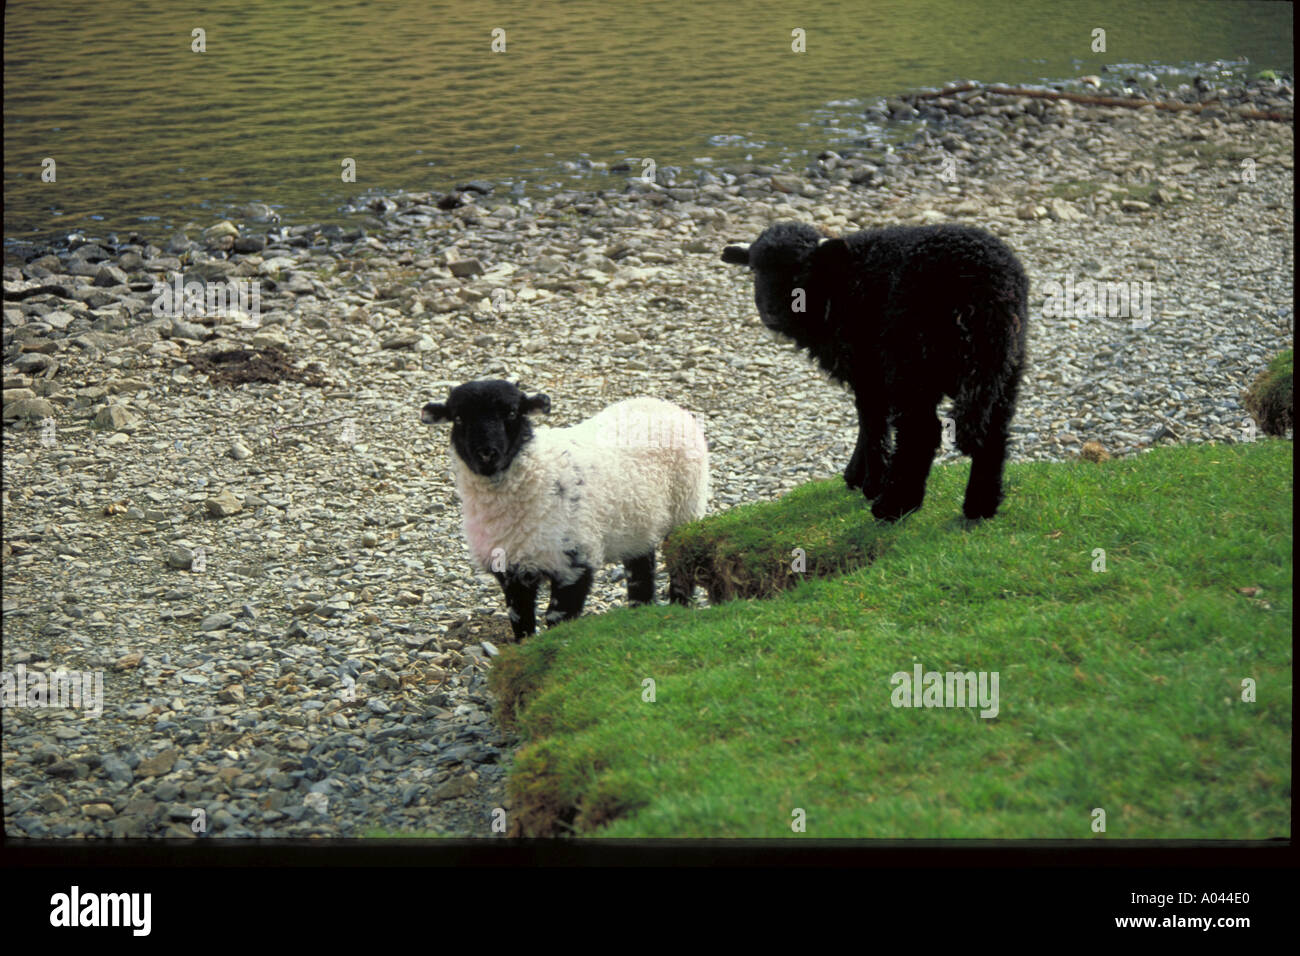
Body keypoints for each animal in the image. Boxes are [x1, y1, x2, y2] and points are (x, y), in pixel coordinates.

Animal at [421, 377, 712, 639]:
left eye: (513, 412)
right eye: (458, 418)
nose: (486, 453)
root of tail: (658, 402)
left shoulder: (575, 560)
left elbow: (557, 618)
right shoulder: (511, 569)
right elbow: (521, 621)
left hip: (686, 508)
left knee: (680, 566)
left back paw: (679, 609)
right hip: (638, 521)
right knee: (641, 570)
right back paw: (641, 614)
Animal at [722, 222, 1024, 522]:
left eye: (801, 269)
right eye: (755, 269)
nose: (770, 312)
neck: (838, 281)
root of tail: (982, 281)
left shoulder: (867, 366)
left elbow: (871, 420)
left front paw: (870, 481)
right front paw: (857, 475)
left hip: (912, 359)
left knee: (921, 430)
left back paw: (894, 505)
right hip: (1005, 362)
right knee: (995, 429)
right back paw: (981, 505)